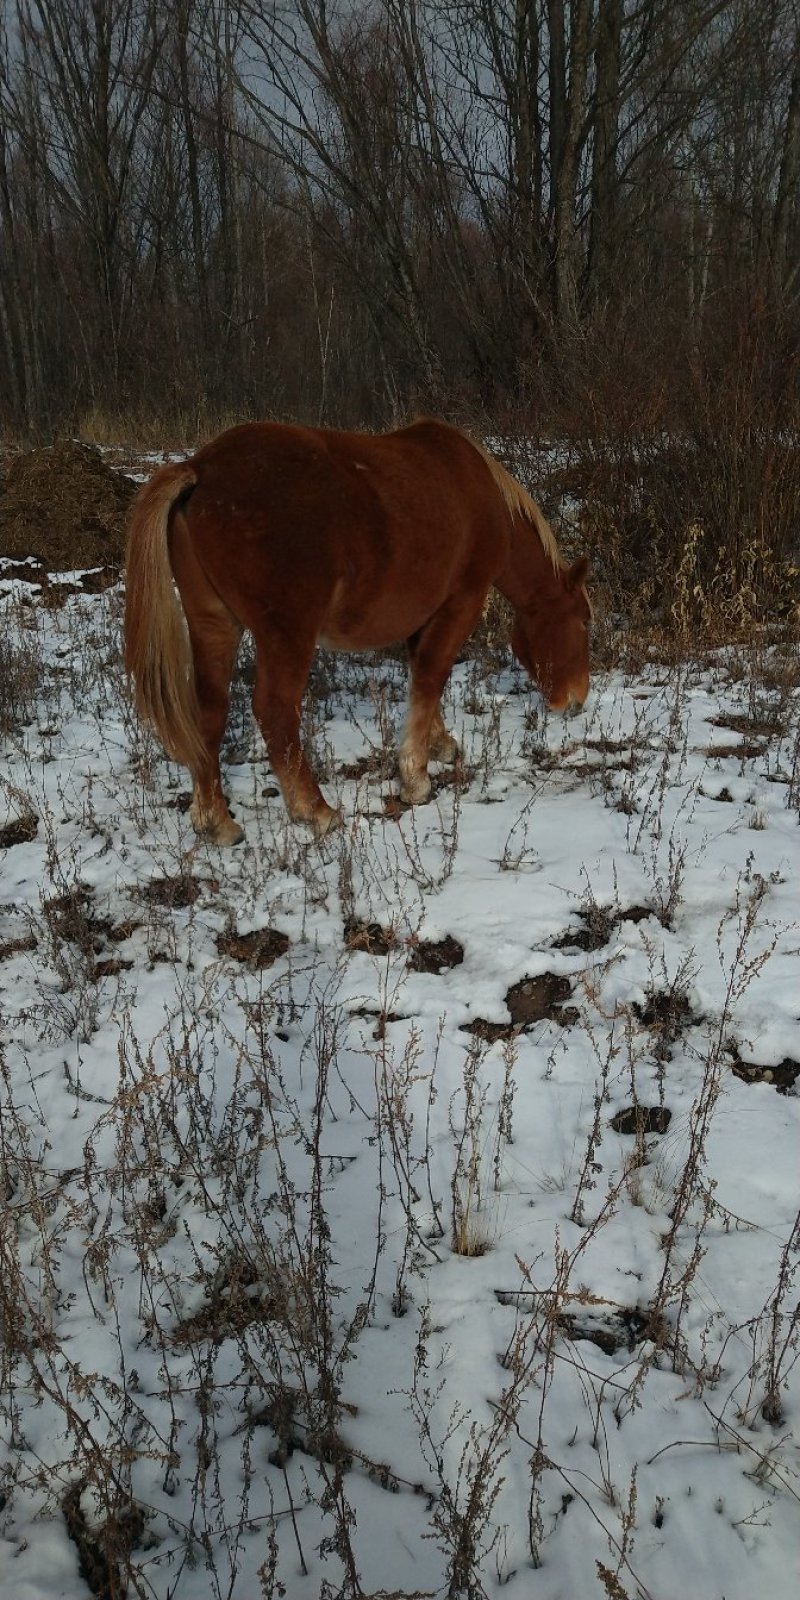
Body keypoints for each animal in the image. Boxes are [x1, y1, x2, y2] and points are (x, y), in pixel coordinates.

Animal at [124, 418, 590, 841]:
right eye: (583, 621)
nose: (576, 700)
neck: (483, 494)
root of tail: (200, 469)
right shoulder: (462, 601)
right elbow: (432, 675)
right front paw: (416, 779)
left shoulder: (423, 615)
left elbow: (422, 676)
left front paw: (438, 743)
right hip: (287, 634)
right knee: (275, 710)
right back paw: (316, 811)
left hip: (213, 624)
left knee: (210, 711)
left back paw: (215, 820)